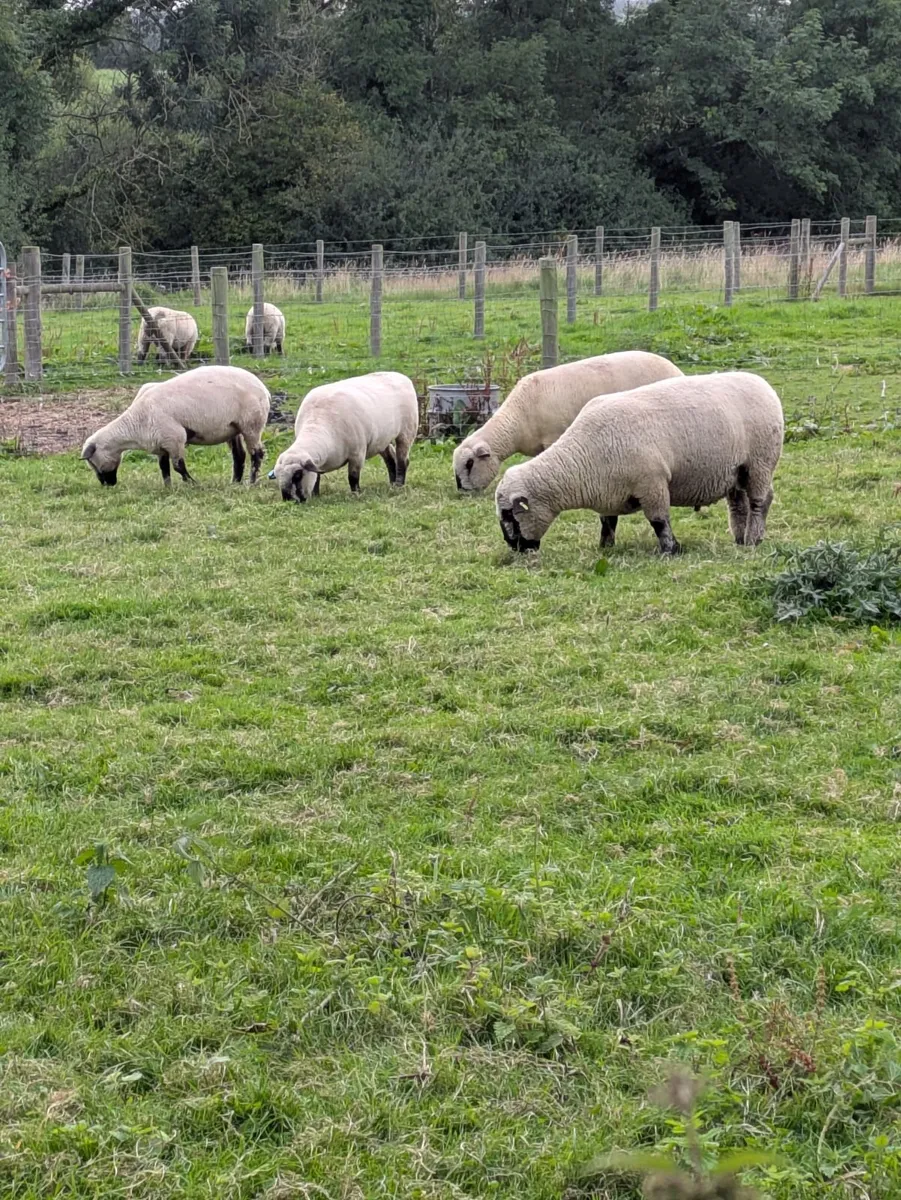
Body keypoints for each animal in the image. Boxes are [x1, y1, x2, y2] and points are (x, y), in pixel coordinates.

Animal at [81, 365, 271, 487]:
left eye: (93, 462)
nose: (107, 484)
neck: (135, 422)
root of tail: (263, 388)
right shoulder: (161, 444)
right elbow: (164, 467)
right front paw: (168, 487)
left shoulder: (175, 438)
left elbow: (178, 466)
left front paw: (192, 483)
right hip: (233, 428)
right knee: (239, 455)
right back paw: (235, 482)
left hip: (251, 424)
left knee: (257, 454)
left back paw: (252, 482)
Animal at [272, 371, 418, 502]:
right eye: (277, 476)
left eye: (297, 475)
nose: (289, 500)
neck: (319, 423)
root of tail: (400, 375)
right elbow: (317, 477)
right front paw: (316, 495)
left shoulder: (357, 454)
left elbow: (352, 477)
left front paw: (356, 494)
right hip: (381, 439)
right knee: (391, 459)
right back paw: (392, 484)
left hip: (407, 431)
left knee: (402, 460)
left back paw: (398, 485)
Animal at [495, 371, 784, 556]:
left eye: (510, 514)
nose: (515, 549)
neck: (581, 457)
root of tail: (763, 383)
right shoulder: (607, 492)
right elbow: (607, 522)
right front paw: (605, 548)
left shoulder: (652, 484)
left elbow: (659, 521)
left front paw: (671, 550)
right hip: (735, 470)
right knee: (739, 504)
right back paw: (740, 539)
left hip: (760, 461)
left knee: (759, 501)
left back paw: (754, 539)